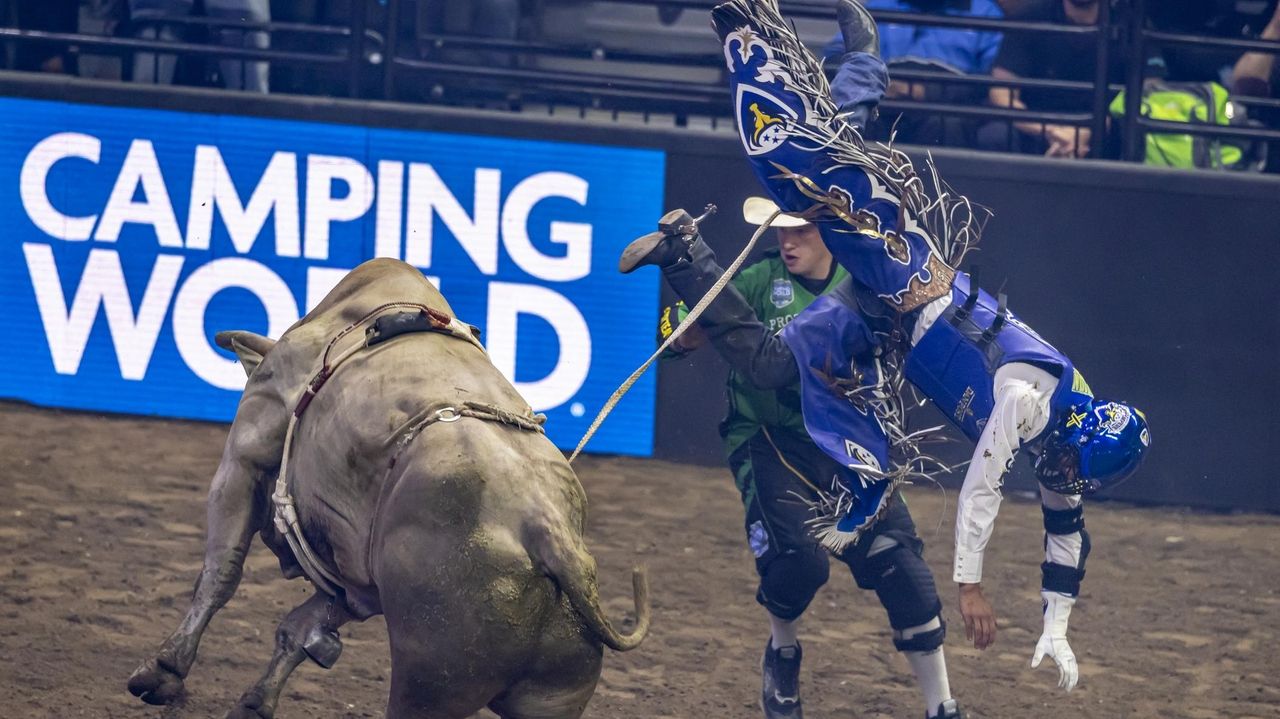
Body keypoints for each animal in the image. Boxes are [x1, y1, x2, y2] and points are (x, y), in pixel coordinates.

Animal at [127, 258, 650, 716]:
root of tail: (550, 537)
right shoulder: (358, 582)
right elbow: (302, 628)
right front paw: (255, 703)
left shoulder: (245, 455)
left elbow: (221, 573)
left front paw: (163, 671)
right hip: (549, 696)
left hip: (429, 687)